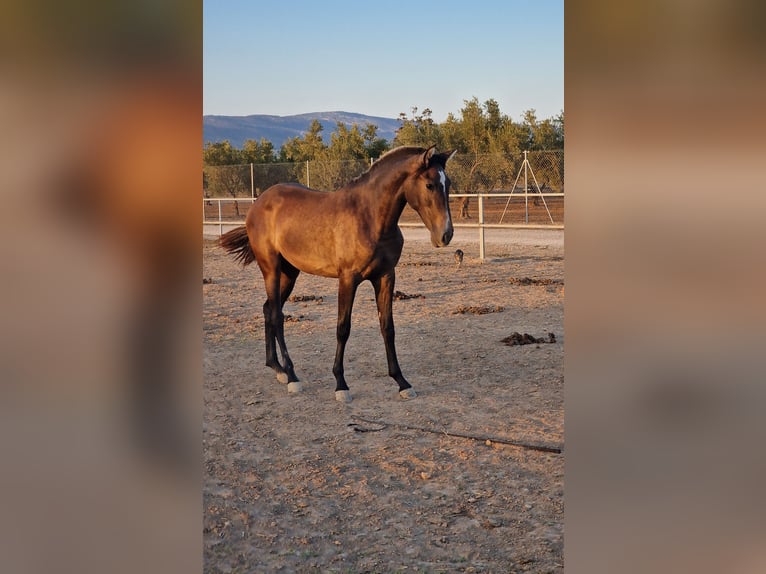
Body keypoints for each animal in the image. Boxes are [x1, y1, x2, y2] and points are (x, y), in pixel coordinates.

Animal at [222, 146, 460, 402]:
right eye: (429, 185)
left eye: (448, 183)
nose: (446, 235)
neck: (370, 218)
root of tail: (259, 203)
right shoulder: (348, 279)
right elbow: (342, 328)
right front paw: (340, 385)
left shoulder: (386, 277)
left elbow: (388, 327)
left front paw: (401, 382)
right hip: (271, 270)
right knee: (276, 315)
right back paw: (292, 376)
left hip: (289, 273)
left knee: (268, 309)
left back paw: (278, 369)